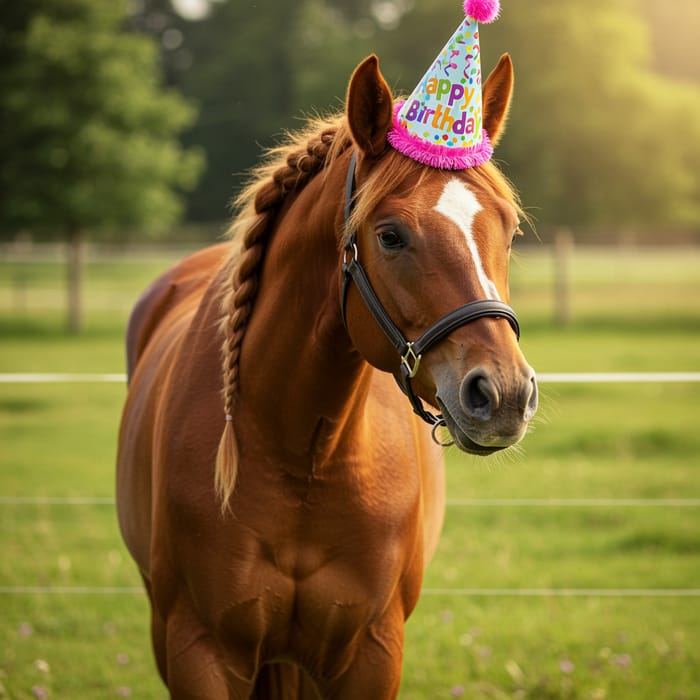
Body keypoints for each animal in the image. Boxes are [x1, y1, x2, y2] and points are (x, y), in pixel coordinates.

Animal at [117, 52, 540, 696]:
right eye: (390, 235)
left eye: (510, 231)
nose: (505, 394)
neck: (304, 458)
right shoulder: (196, 648)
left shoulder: (372, 651)